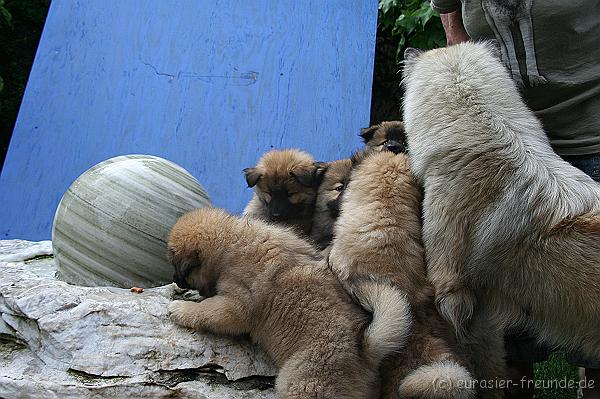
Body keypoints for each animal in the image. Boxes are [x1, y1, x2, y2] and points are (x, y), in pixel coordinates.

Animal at [168, 209, 412, 399]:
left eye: (176, 266)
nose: (176, 281)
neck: (232, 239)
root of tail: (364, 353)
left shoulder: (235, 304)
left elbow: (207, 310)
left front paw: (181, 309)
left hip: (302, 383)